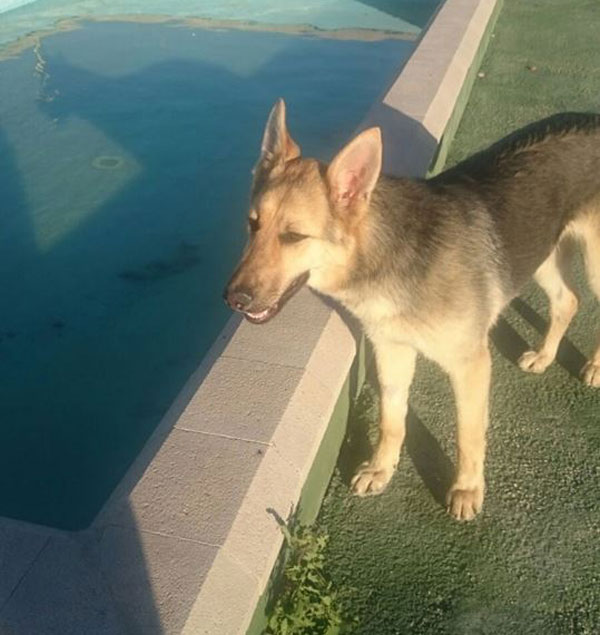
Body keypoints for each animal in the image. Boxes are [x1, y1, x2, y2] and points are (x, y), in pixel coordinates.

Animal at [223, 100, 600, 520]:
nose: (233, 298)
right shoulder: (392, 352)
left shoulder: (471, 365)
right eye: (252, 224)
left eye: (294, 236)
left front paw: (467, 488)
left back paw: (595, 367)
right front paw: (381, 468)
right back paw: (545, 355)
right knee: (568, 301)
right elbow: (391, 418)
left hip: (593, 262)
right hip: (542, 255)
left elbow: (468, 433)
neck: (385, 257)